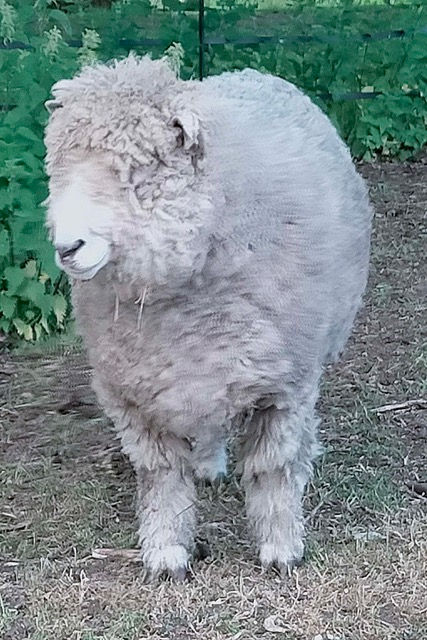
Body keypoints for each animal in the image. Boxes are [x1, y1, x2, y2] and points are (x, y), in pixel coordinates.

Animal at [44, 55, 372, 582]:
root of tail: (252, 72)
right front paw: (166, 553)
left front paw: (281, 548)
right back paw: (208, 464)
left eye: (140, 171)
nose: (67, 247)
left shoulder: (284, 387)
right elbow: (161, 477)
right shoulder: (137, 394)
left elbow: (272, 469)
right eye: (60, 169)